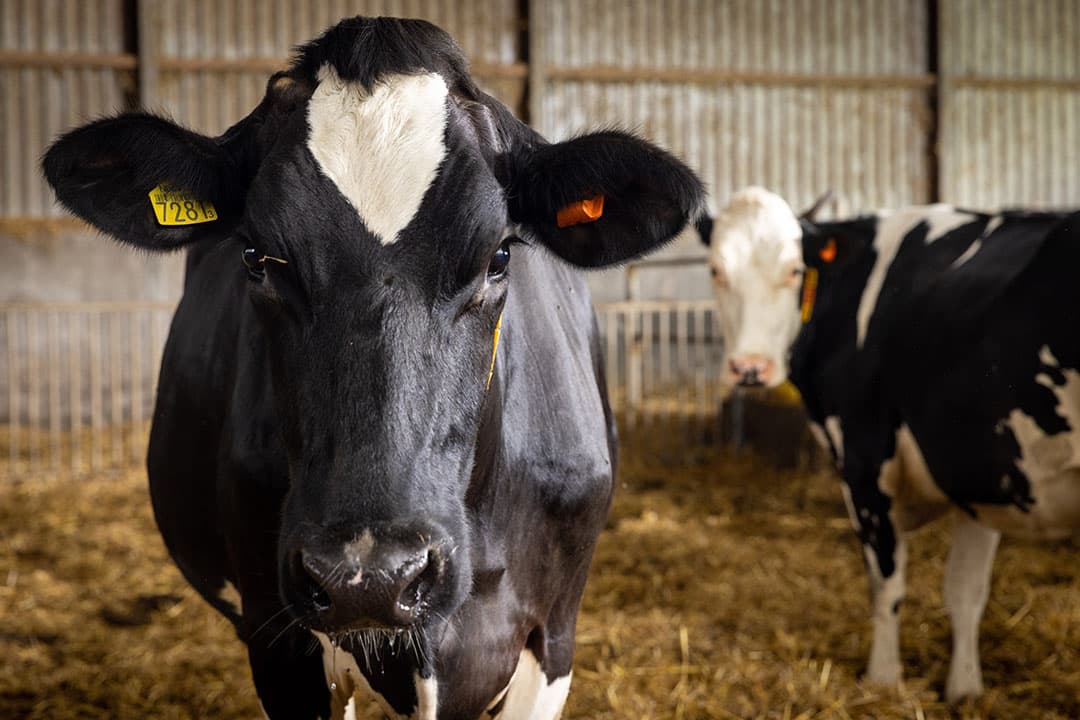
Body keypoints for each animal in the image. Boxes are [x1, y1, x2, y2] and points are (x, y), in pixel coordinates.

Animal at [698, 187, 1080, 701]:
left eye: (794, 270)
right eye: (716, 270)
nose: (751, 368)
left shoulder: (864, 461)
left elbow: (886, 585)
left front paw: (882, 679)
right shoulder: (977, 467)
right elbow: (965, 592)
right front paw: (964, 690)